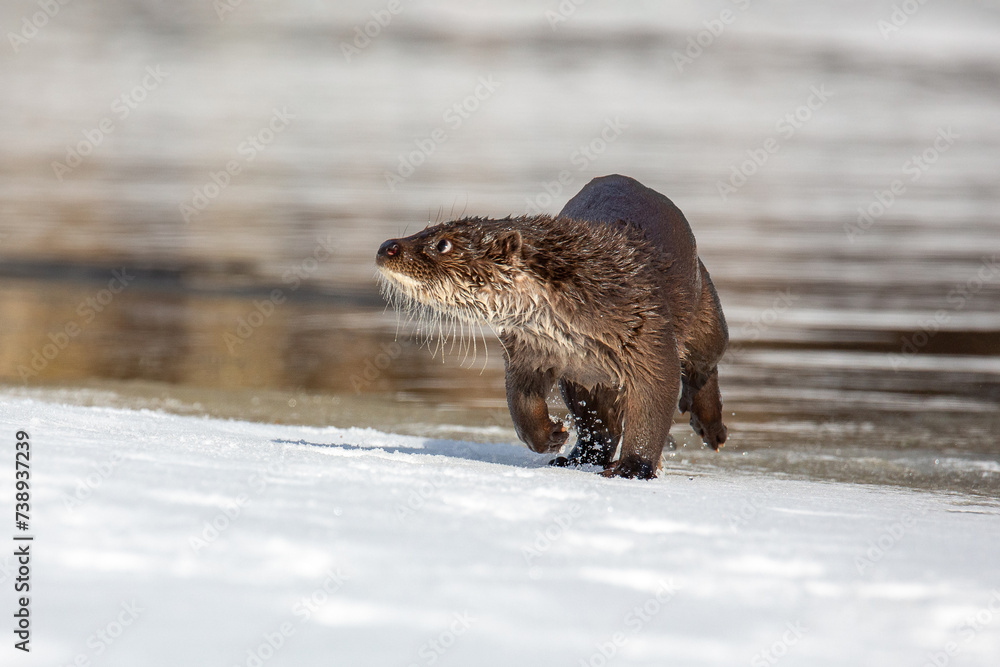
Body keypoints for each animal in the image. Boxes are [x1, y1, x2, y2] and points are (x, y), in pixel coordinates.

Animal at [376, 174, 728, 479]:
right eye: (425, 229)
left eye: (442, 244)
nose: (387, 246)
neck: (593, 288)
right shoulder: (526, 347)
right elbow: (521, 399)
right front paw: (550, 436)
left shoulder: (647, 329)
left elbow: (655, 400)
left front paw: (633, 468)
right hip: (581, 379)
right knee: (599, 424)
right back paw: (576, 458)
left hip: (704, 305)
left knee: (706, 361)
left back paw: (711, 428)